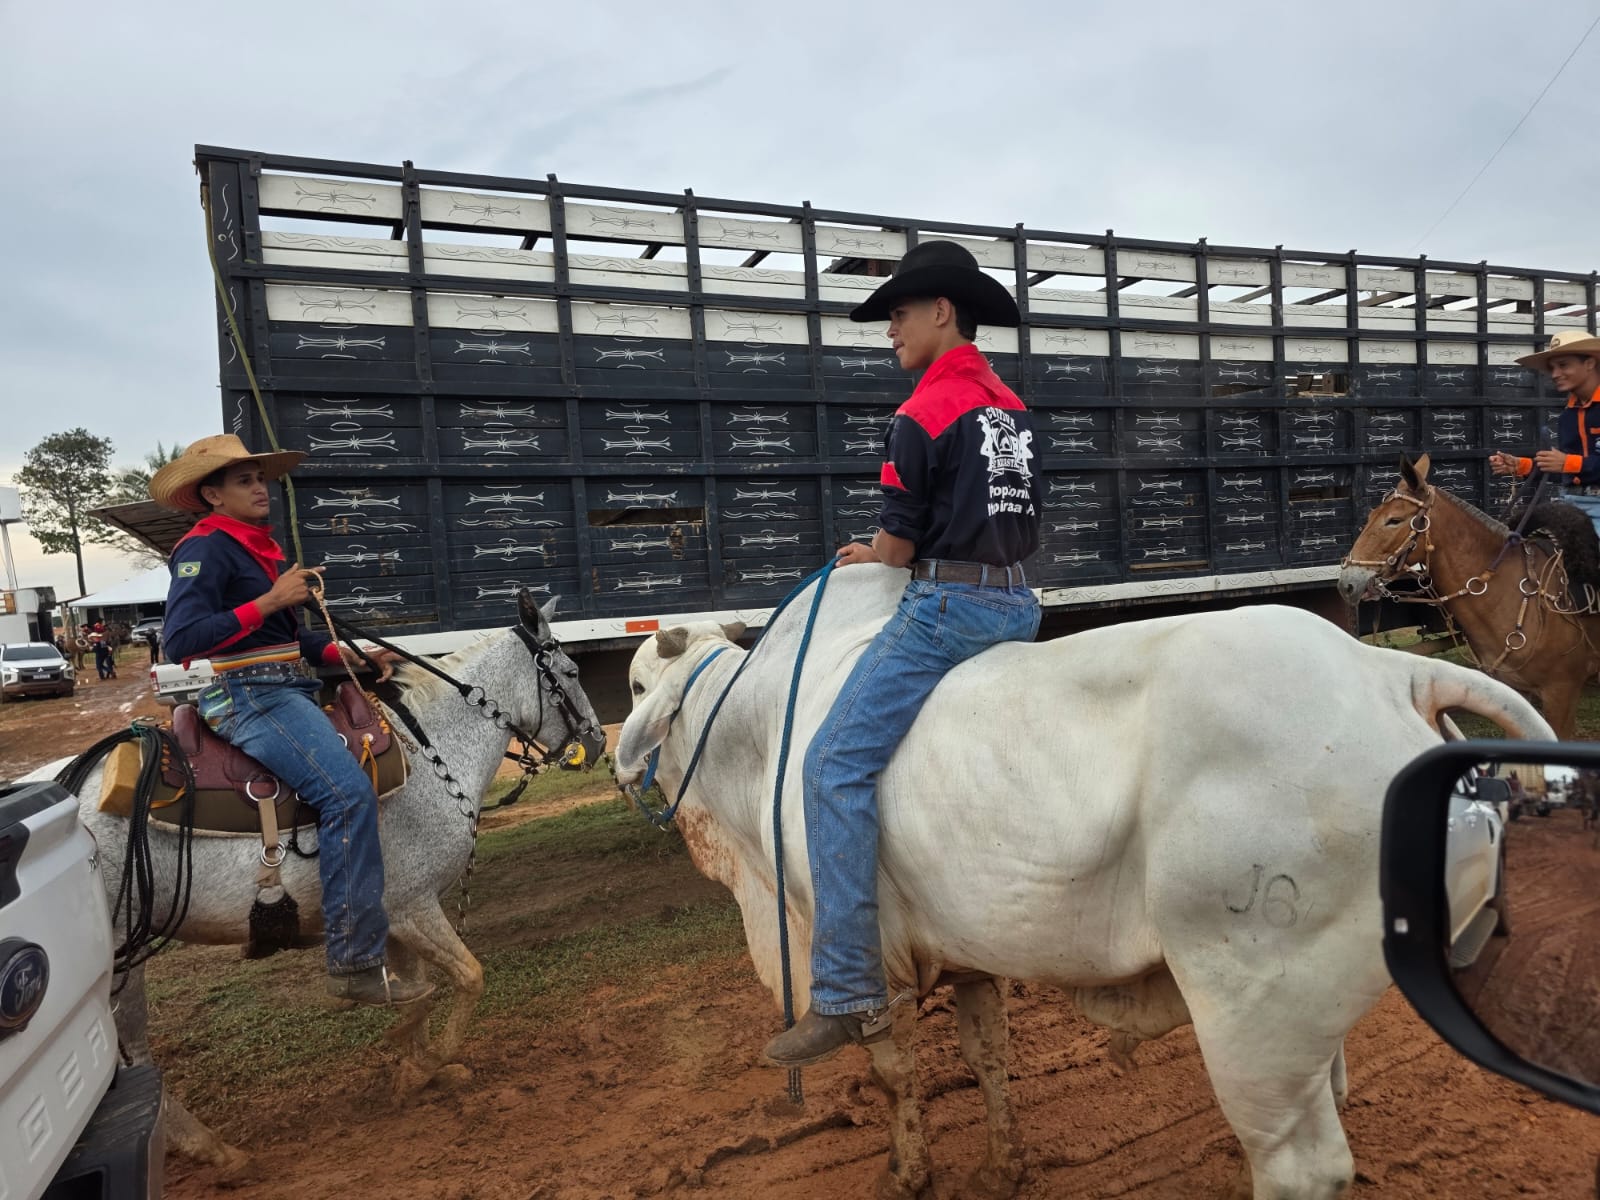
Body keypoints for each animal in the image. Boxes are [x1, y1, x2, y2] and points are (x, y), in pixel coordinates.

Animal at [21, 592, 604, 1174]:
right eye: (572, 671)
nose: (596, 741)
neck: (431, 751)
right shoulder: (413, 906)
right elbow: (466, 978)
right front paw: (426, 1063)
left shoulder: (394, 920)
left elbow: (415, 993)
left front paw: (418, 1069)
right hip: (123, 959)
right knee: (134, 1054)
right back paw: (216, 1150)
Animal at [614, 564, 1553, 1199]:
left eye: (631, 684)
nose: (621, 770)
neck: (759, 728)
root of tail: (1389, 670)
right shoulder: (967, 957)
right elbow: (986, 1057)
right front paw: (1006, 1163)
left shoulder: (859, 954)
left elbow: (892, 1073)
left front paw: (907, 1172)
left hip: (1254, 1007)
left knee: (1301, 1164)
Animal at [1340, 454, 1600, 740]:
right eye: (1371, 515)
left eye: (1394, 520)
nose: (1347, 583)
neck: (1511, 594)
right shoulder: (1515, 695)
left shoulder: (1561, 693)